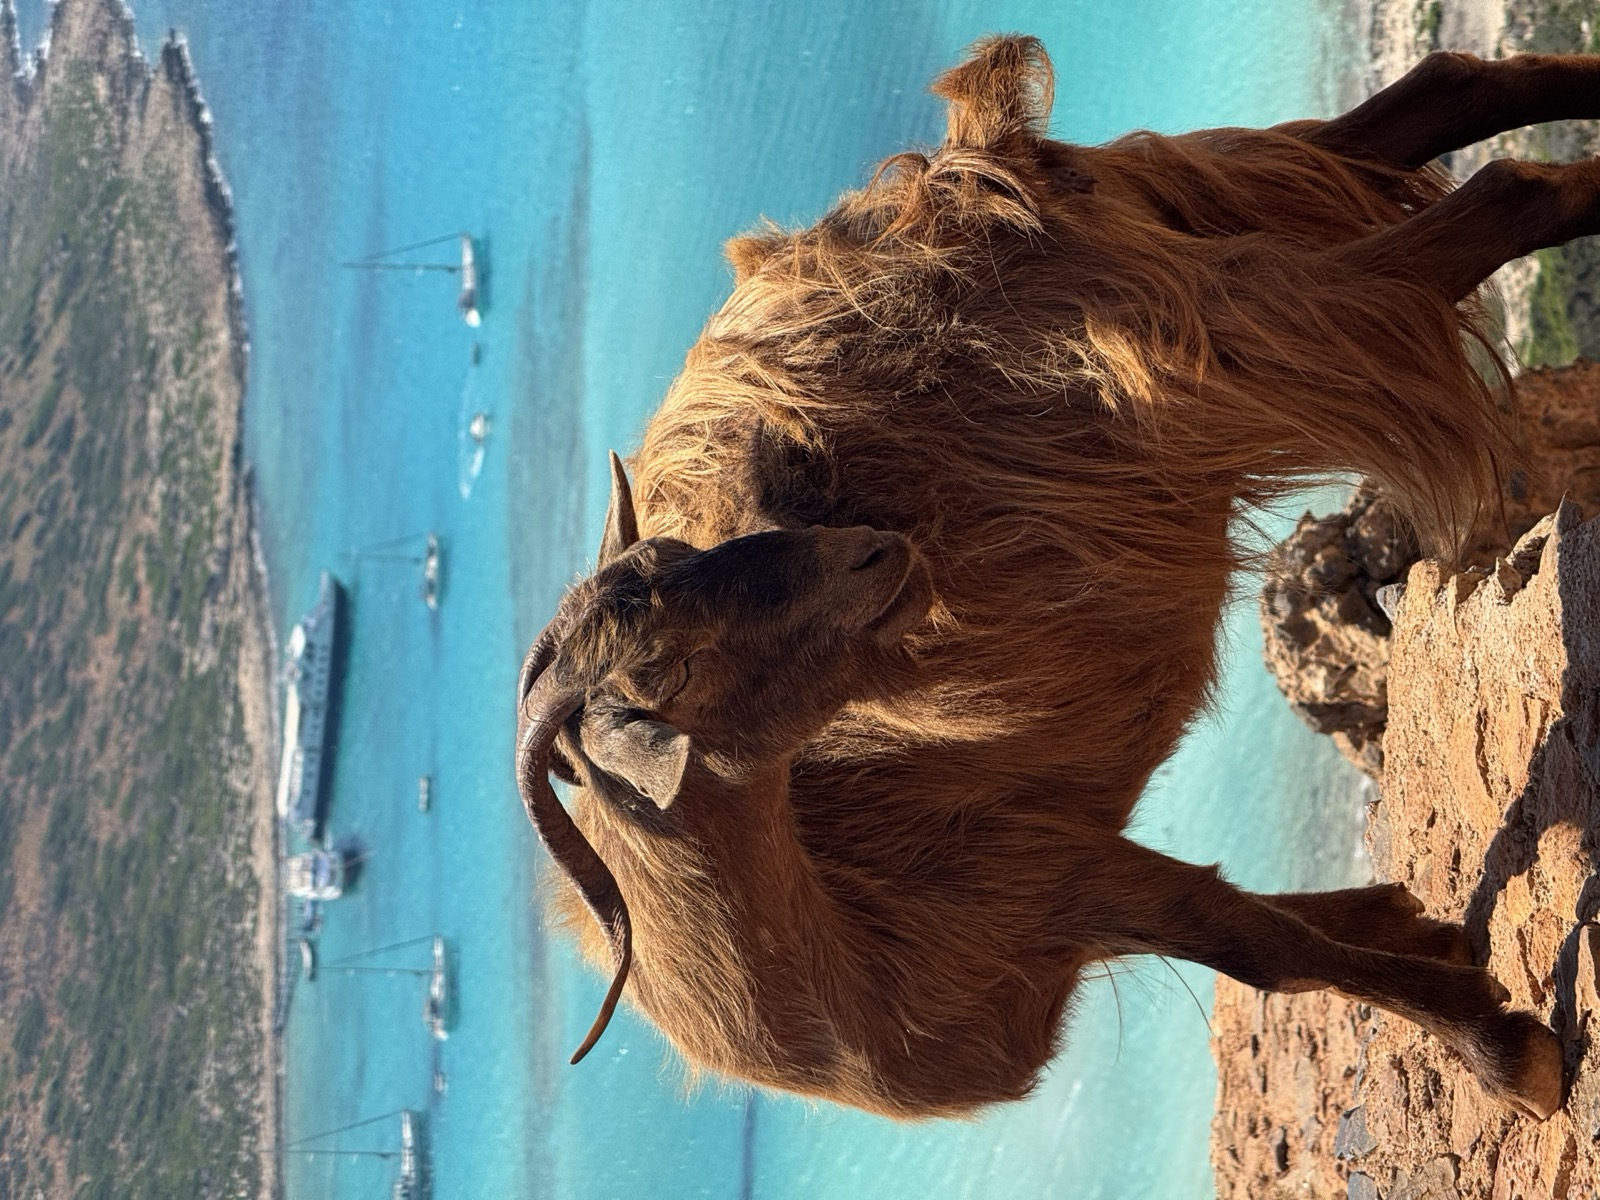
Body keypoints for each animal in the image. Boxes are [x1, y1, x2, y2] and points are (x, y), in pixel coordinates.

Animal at [518, 38, 1600, 1122]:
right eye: (669, 667)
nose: (871, 550)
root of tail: (959, 167)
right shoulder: (1049, 892)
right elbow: (1259, 940)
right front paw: (1421, 932)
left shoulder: (1038, 866)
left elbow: (1256, 945)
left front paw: (1511, 1055)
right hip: (1197, 205)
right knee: (1445, 91)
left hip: (1193, 337)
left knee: (1504, 195)